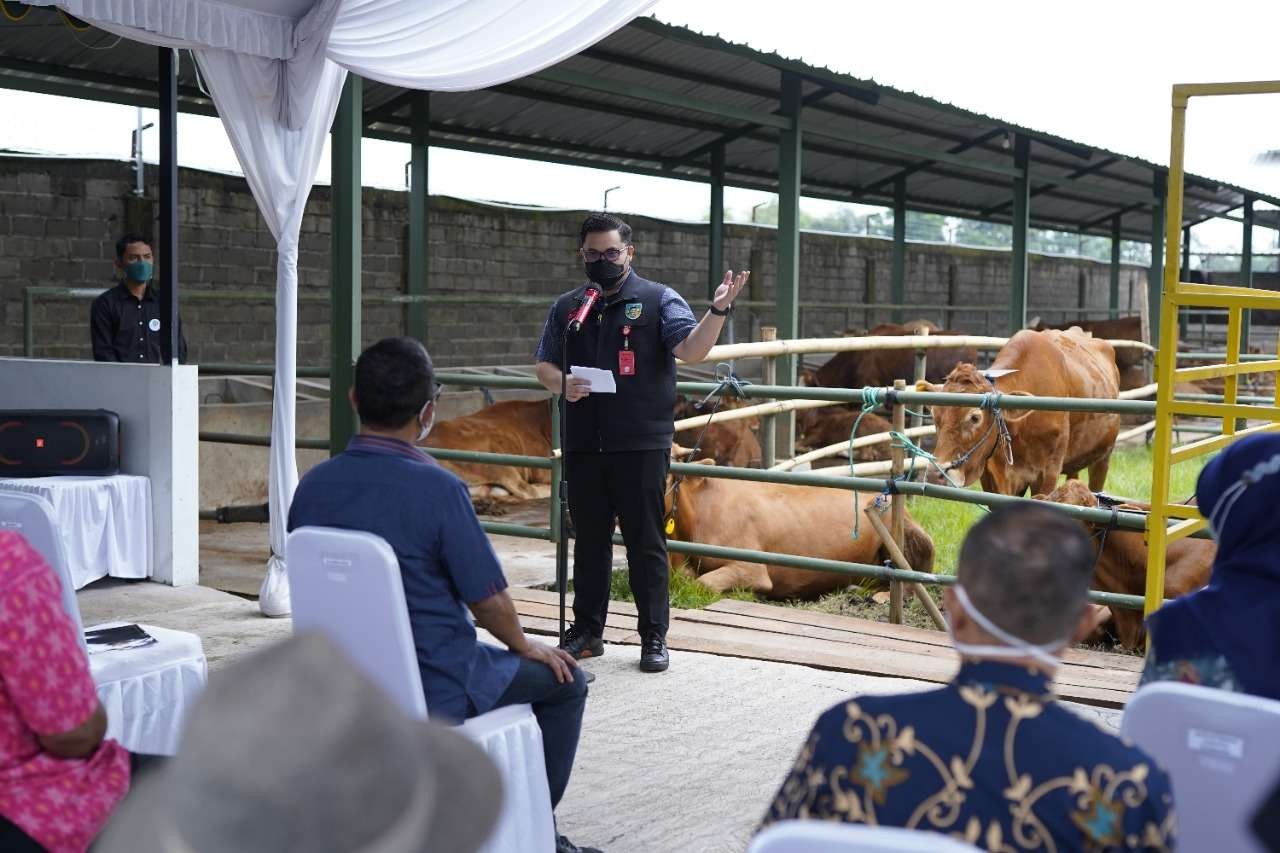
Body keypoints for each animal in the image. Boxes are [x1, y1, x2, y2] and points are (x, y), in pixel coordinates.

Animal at [921, 326, 1121, 499]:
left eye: (975, 417)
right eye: (935, 417)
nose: (935, 474)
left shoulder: (1047, 474)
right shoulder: (992, 477)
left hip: (1103, 457)